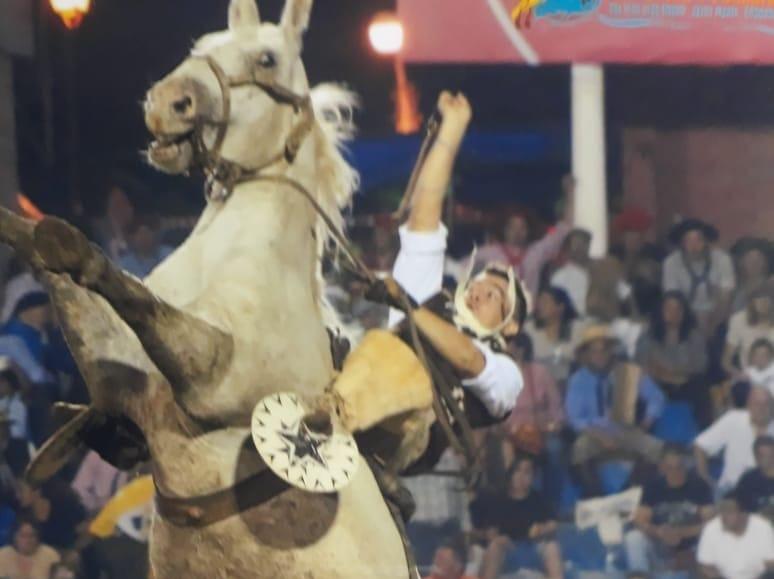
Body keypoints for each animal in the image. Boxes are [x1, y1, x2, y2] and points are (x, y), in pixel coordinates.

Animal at [0, 0, 409, 576]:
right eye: (200, 46)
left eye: (266, 58)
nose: (167, 103)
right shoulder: (115, 369)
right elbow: (54, 266)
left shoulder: (215, 371)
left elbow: (130, 294)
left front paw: (74, 249)